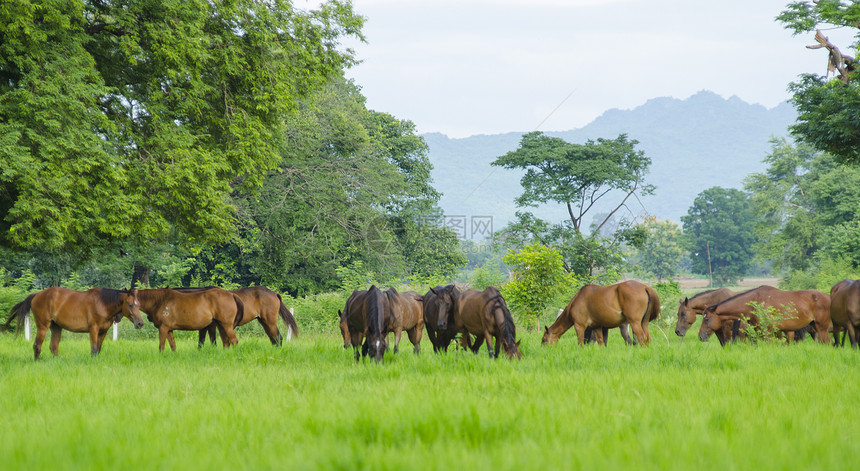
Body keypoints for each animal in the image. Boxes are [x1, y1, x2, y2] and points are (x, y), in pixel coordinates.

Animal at [2, 288, 144, 362]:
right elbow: (93, 349)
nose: (140, 323)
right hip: (43, 326)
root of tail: (37, 294)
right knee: (37, 345)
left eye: (139, 305)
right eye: (130, 305)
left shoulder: (103, 332)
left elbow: (98, 349)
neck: (103, 303)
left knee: (53, 347)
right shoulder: (93, 329)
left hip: (56, 327)